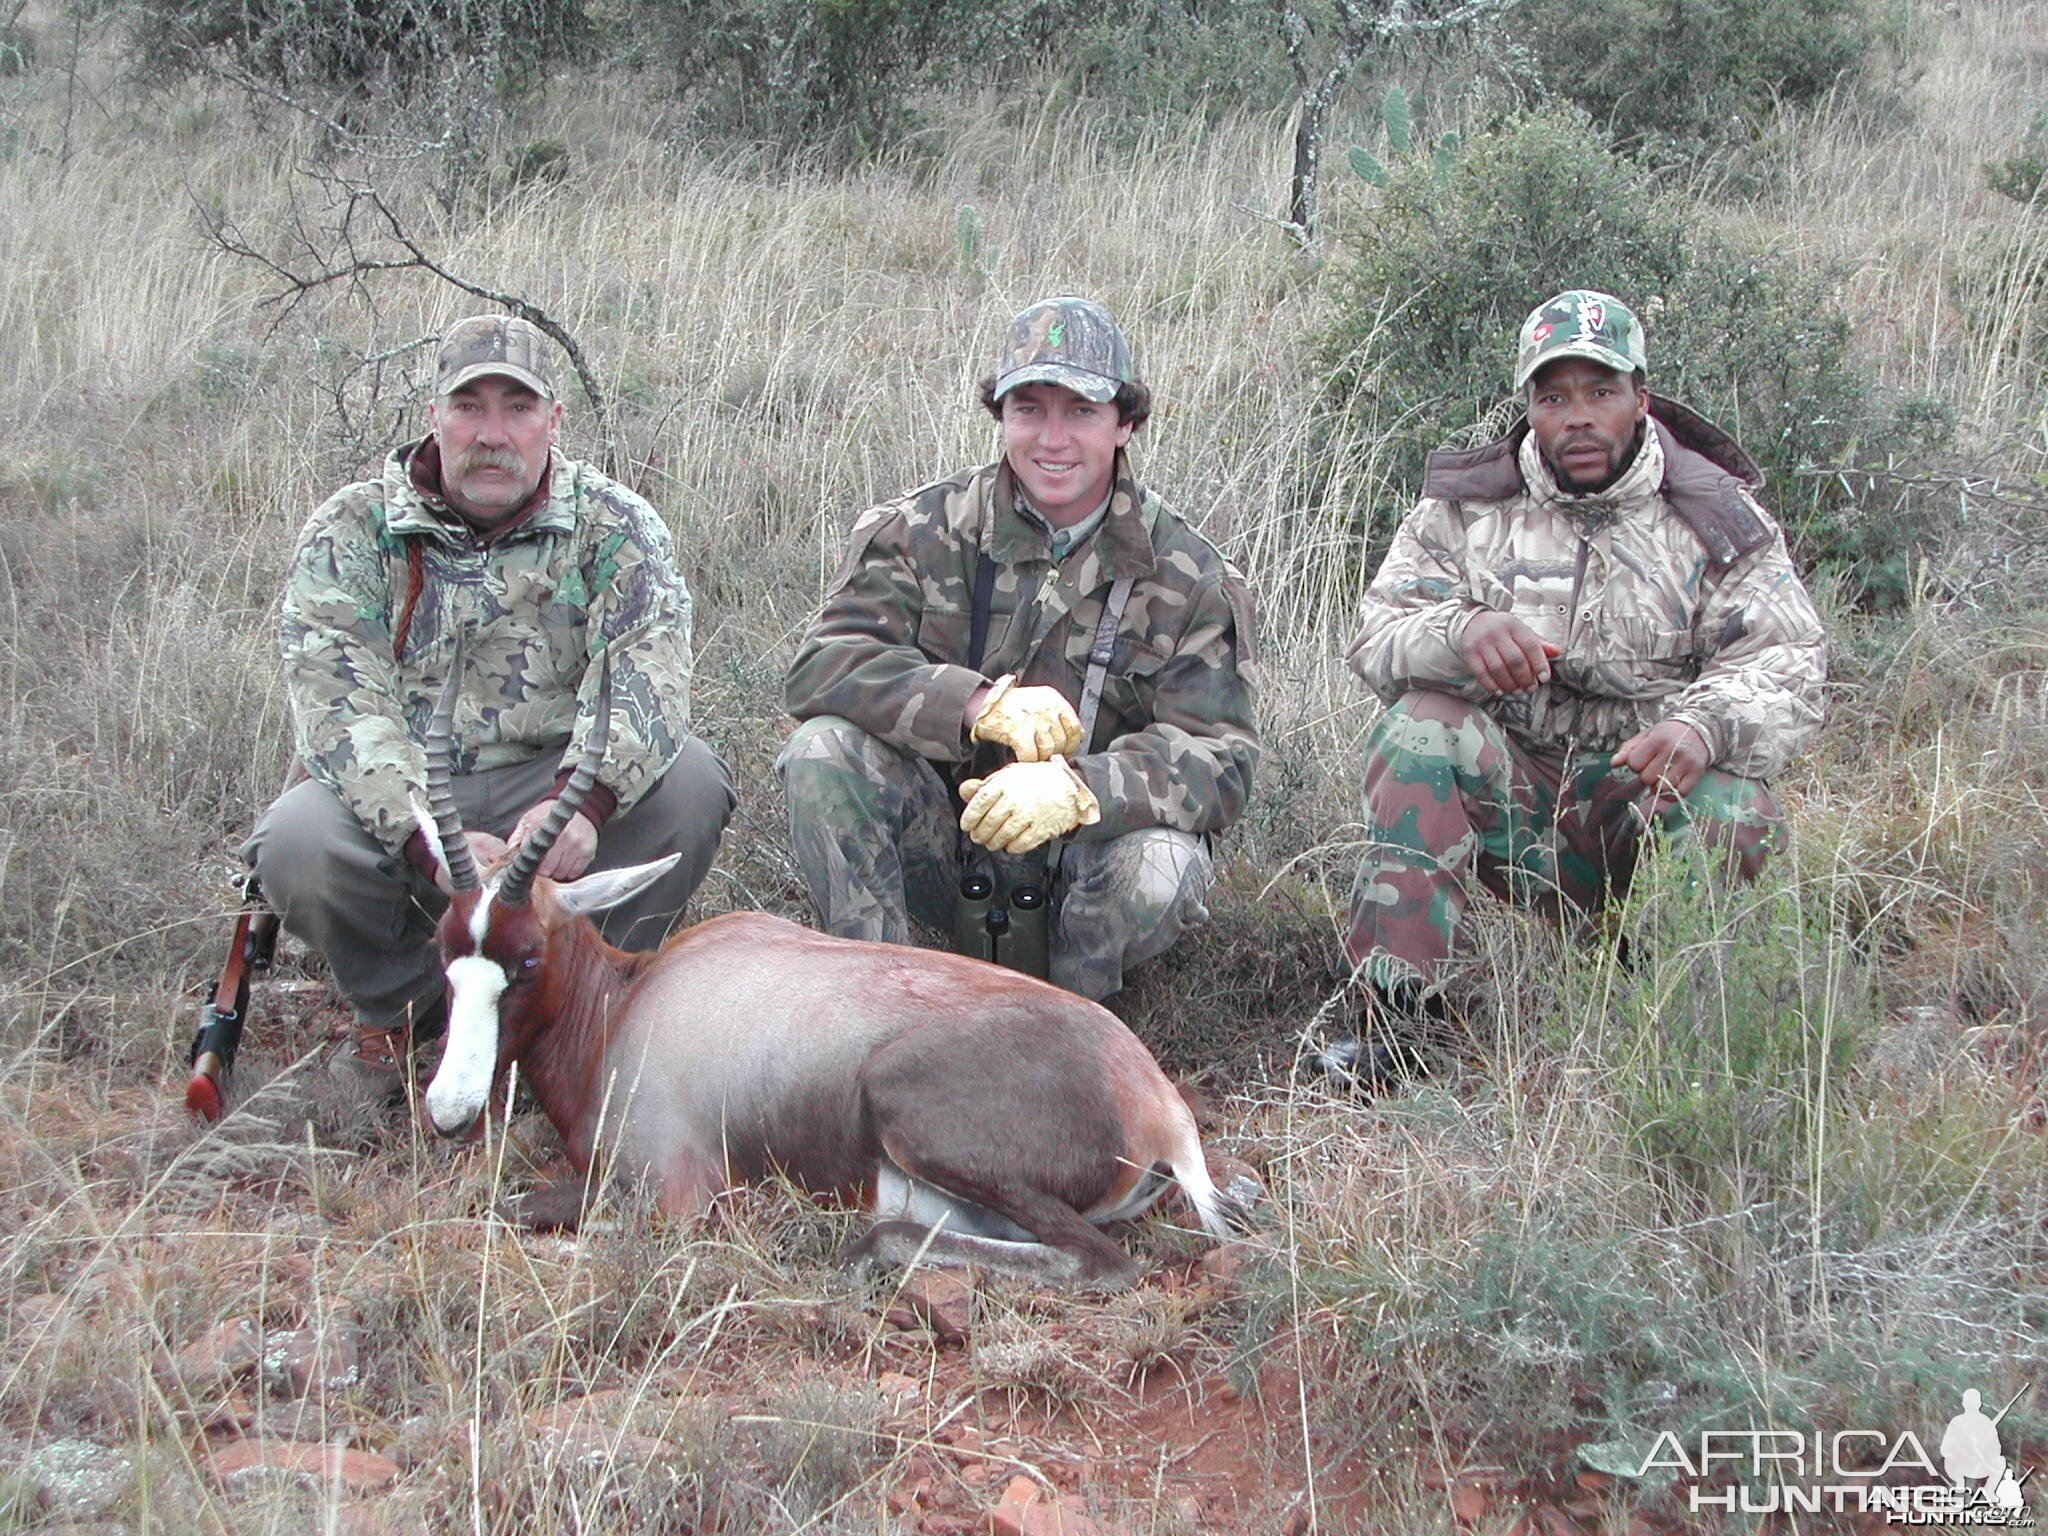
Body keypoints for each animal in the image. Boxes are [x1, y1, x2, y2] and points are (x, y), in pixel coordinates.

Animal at [409, 667, 1253, 1294]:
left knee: (1096, 1261)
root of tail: (1153, 1101)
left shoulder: (677, 1200)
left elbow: (540, 1221)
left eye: (526, 958)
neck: (630, 1001)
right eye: (442, 947)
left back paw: (860, 1252)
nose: (448, 1114)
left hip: (911, 1110)